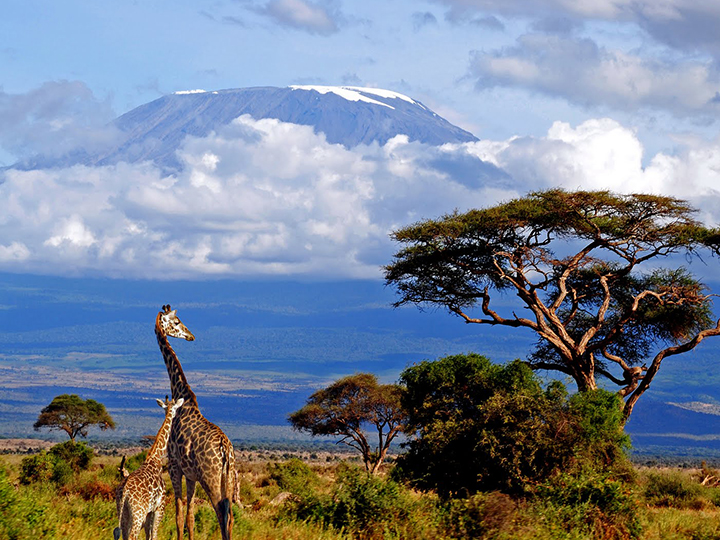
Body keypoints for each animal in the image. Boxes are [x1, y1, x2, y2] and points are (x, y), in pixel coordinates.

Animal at [114, 394, 184, 536]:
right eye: (175, 409)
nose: (174, 416)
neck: (155, 458)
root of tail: (124, 492)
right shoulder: (159, 508)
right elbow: (154, 534)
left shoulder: (149, 512)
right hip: (138, 513)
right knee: (132, 536)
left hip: (122, 513)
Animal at [156, 304, 238, 540]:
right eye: (176, 322)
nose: (190, 336)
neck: (182, 395)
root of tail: (225, 450)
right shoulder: (190, 475)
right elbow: (190, 517)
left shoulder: (174, 466)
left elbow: (178, 515)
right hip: (229, 478)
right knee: (230, 517)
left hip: (210, 479)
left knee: (221, 514)